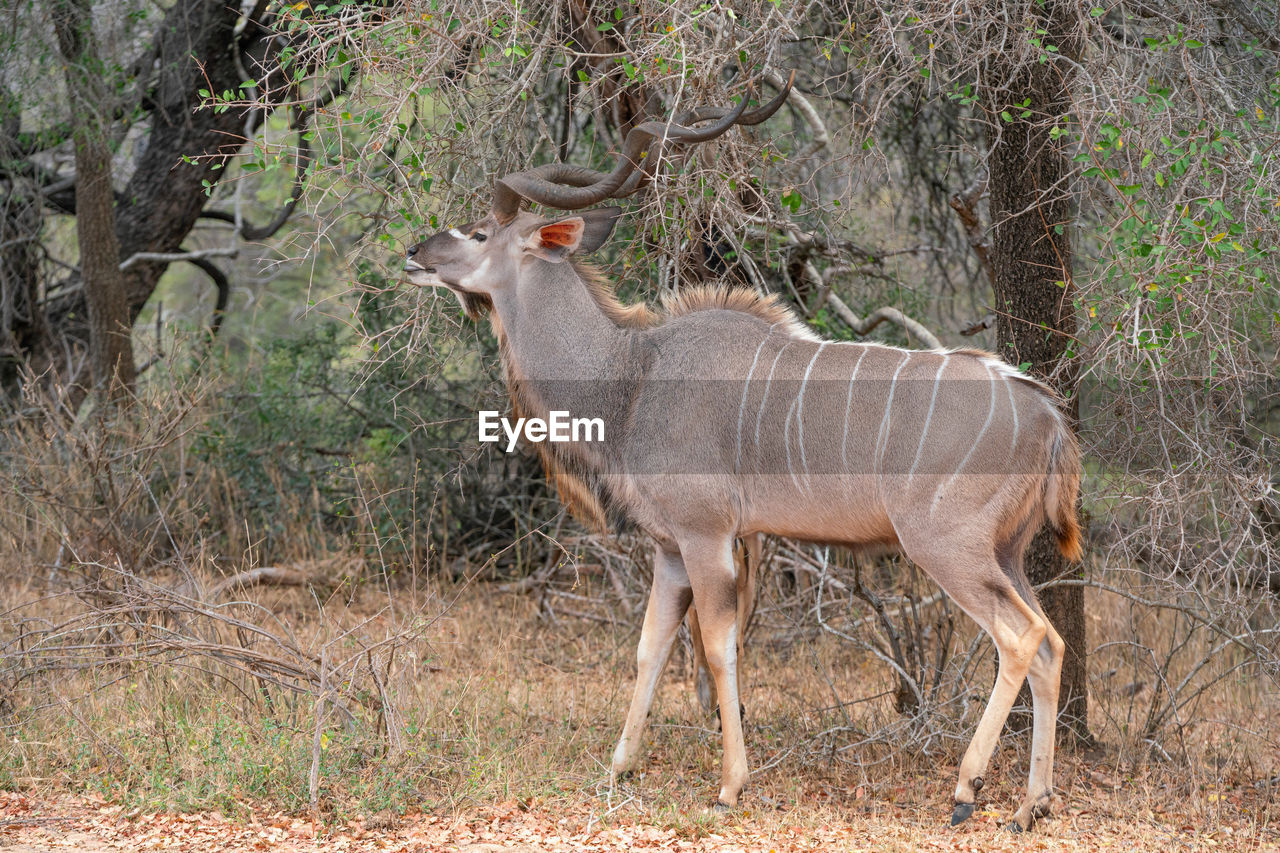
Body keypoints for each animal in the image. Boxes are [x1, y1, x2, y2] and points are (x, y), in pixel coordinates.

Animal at [401, 81, 1080, 829]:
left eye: (478, 233)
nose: (414, 252)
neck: (633, 377)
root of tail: (1047, 415)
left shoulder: (707, 536)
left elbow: (719, 648)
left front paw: (730, 785)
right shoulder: (669, 548)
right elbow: (650, 648)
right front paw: (619, 767)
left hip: (948, 547)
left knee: (1020, 638)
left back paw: (967, 789)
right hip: (1006, 554)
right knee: (1052, 643)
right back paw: (1033, 803)